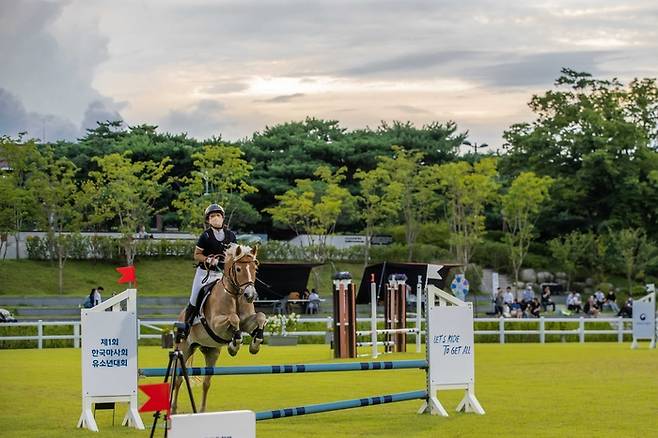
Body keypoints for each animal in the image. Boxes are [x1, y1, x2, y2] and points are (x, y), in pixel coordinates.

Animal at [174, 245, 270, 412]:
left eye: (255, 268)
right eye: (238, 269)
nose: (250, 295)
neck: (235, 295)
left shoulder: (247, 321)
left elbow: (260, 316)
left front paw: (255, 343)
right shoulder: (216, 324)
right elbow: (233, 318)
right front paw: (234, 345)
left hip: (211, 351)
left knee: (206, 382)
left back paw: (202, 411)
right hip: (184, 350)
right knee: (179, 380)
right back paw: (173, 410)